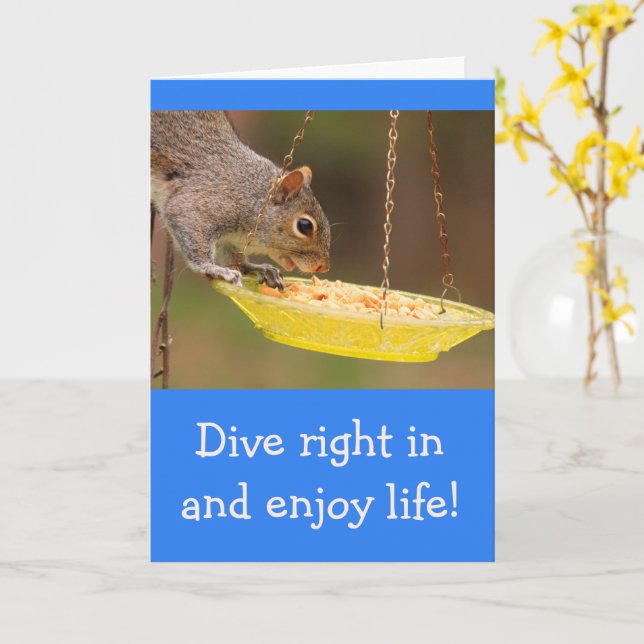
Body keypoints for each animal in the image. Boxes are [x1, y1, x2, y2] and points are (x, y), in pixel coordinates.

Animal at [151, 111, 330, 289]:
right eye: (304, 226)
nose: (323, 267)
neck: (250, 193)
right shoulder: (200, 203)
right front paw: (214, 268)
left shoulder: (228, 238)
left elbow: (231, 253)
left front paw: (254, 267)